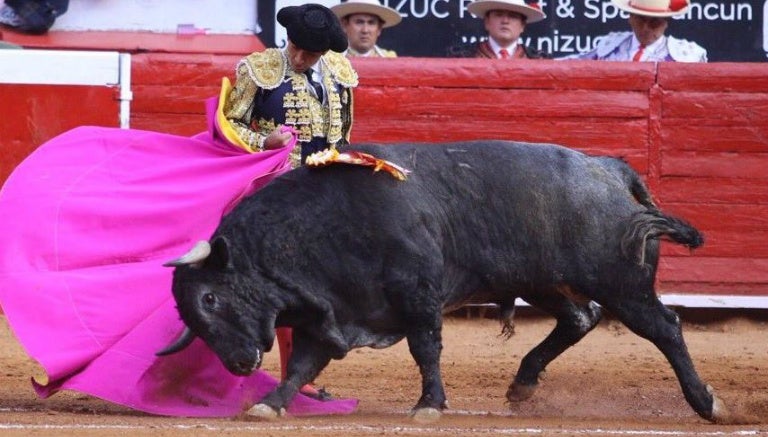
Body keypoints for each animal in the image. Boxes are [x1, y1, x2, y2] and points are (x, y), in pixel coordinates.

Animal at [159, 140, 736, 422]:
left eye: (210, 297)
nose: (238, 363)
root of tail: (609, 171)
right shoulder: (329, 310)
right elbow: (303, 363)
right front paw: (271, 404)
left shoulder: (417, 295)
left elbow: (425, 348)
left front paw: (429, 406)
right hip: (543, 279)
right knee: (579, 318)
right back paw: (522, 384)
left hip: (621, 283)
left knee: (665, 327)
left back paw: (708, 404)